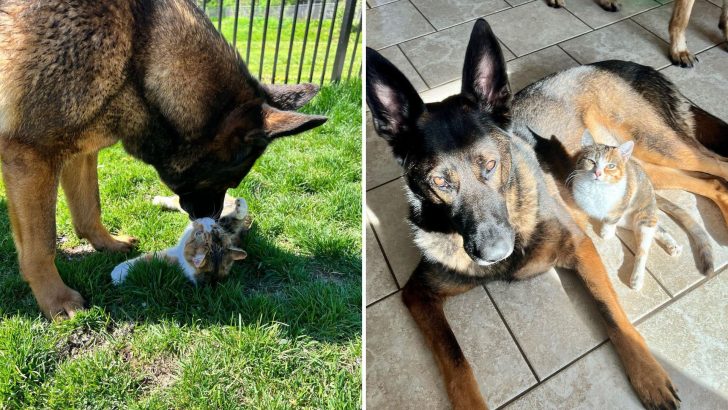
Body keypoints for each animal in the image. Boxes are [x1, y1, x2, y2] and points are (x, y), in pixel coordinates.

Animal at [111, 195, 253, 286]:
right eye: (215, 228)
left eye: (198, 233)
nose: (207, 221)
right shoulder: (228, 227)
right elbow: (237, 216)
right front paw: (240, 205)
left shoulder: (175, 257)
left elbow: (147, 258)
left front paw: (117, 272)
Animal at [568, 131, 712, 292]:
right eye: (592, 161)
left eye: (611, 166)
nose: (598, 173)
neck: (596, 189)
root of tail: (653, 194)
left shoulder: (623, 200)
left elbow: (611, 219)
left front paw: (606, 232)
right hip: (633, 221)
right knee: (657, 228)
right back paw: (672, 245)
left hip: (643, 216)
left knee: (643, 249)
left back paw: (637, 278)